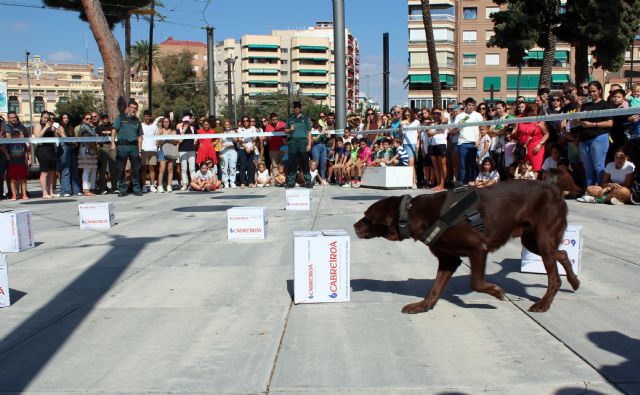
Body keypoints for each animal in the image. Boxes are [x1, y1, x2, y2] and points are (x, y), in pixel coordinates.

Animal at [356, 181, 580, 314]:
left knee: (554, 277)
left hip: (541, 238)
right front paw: (423, 306)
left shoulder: (478, 248)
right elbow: (435, 289)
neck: (412, 213)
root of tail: (555, 189)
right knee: (562, 253)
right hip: (532, 241)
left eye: (367, 219)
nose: (354, 226)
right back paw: (575, 281)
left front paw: (496, 291)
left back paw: (544, 303)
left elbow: (476, 282)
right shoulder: (448, 259)